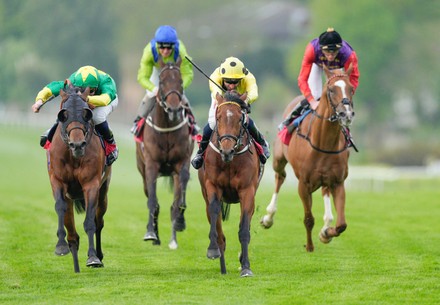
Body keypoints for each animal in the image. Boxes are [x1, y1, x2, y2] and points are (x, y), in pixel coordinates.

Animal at [46, 85, 111, 270]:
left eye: (86, 114)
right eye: (63, 114)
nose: (77, 145)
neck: (74, 156)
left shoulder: (91, 184)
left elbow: (90, 221)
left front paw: (93, 257)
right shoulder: (58, 181)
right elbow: (61, 209)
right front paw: (61, 246)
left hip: (103, 190)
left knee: (99, 221)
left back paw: (98, 254)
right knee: (71, 226)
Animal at [136, 55, 194, 248]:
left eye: (181, 81)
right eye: (161, 82)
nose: (174, 108)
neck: (167, 128)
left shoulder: (181, 164)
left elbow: (178, 202)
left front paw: (178, 227)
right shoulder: (151, 166)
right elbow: (153, 202)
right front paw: (151, 233)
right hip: (142, 171)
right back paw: (155, 236)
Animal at [197, 91, 264, 276]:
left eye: (240, 119)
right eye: (218, 117)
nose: (226, 150)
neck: (229, 161)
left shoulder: (247, 191)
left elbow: (244, 228)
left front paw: (246, 266)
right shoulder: (213, 186)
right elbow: (215, 214)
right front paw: (213, 249)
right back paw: (222, 266)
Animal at [260, 66, 356, 252]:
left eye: (351, 89)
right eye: (331, 90)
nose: (346, 114)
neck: (324, 142)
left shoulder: (338, 182)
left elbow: (342, 224)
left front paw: (326, 233)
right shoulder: (303, 184)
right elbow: (309, 218)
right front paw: (310, 246)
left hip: (325, 180)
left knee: (325, 192)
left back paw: (326, 224)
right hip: (278, 160)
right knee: (279, 178)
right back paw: (268, 217)